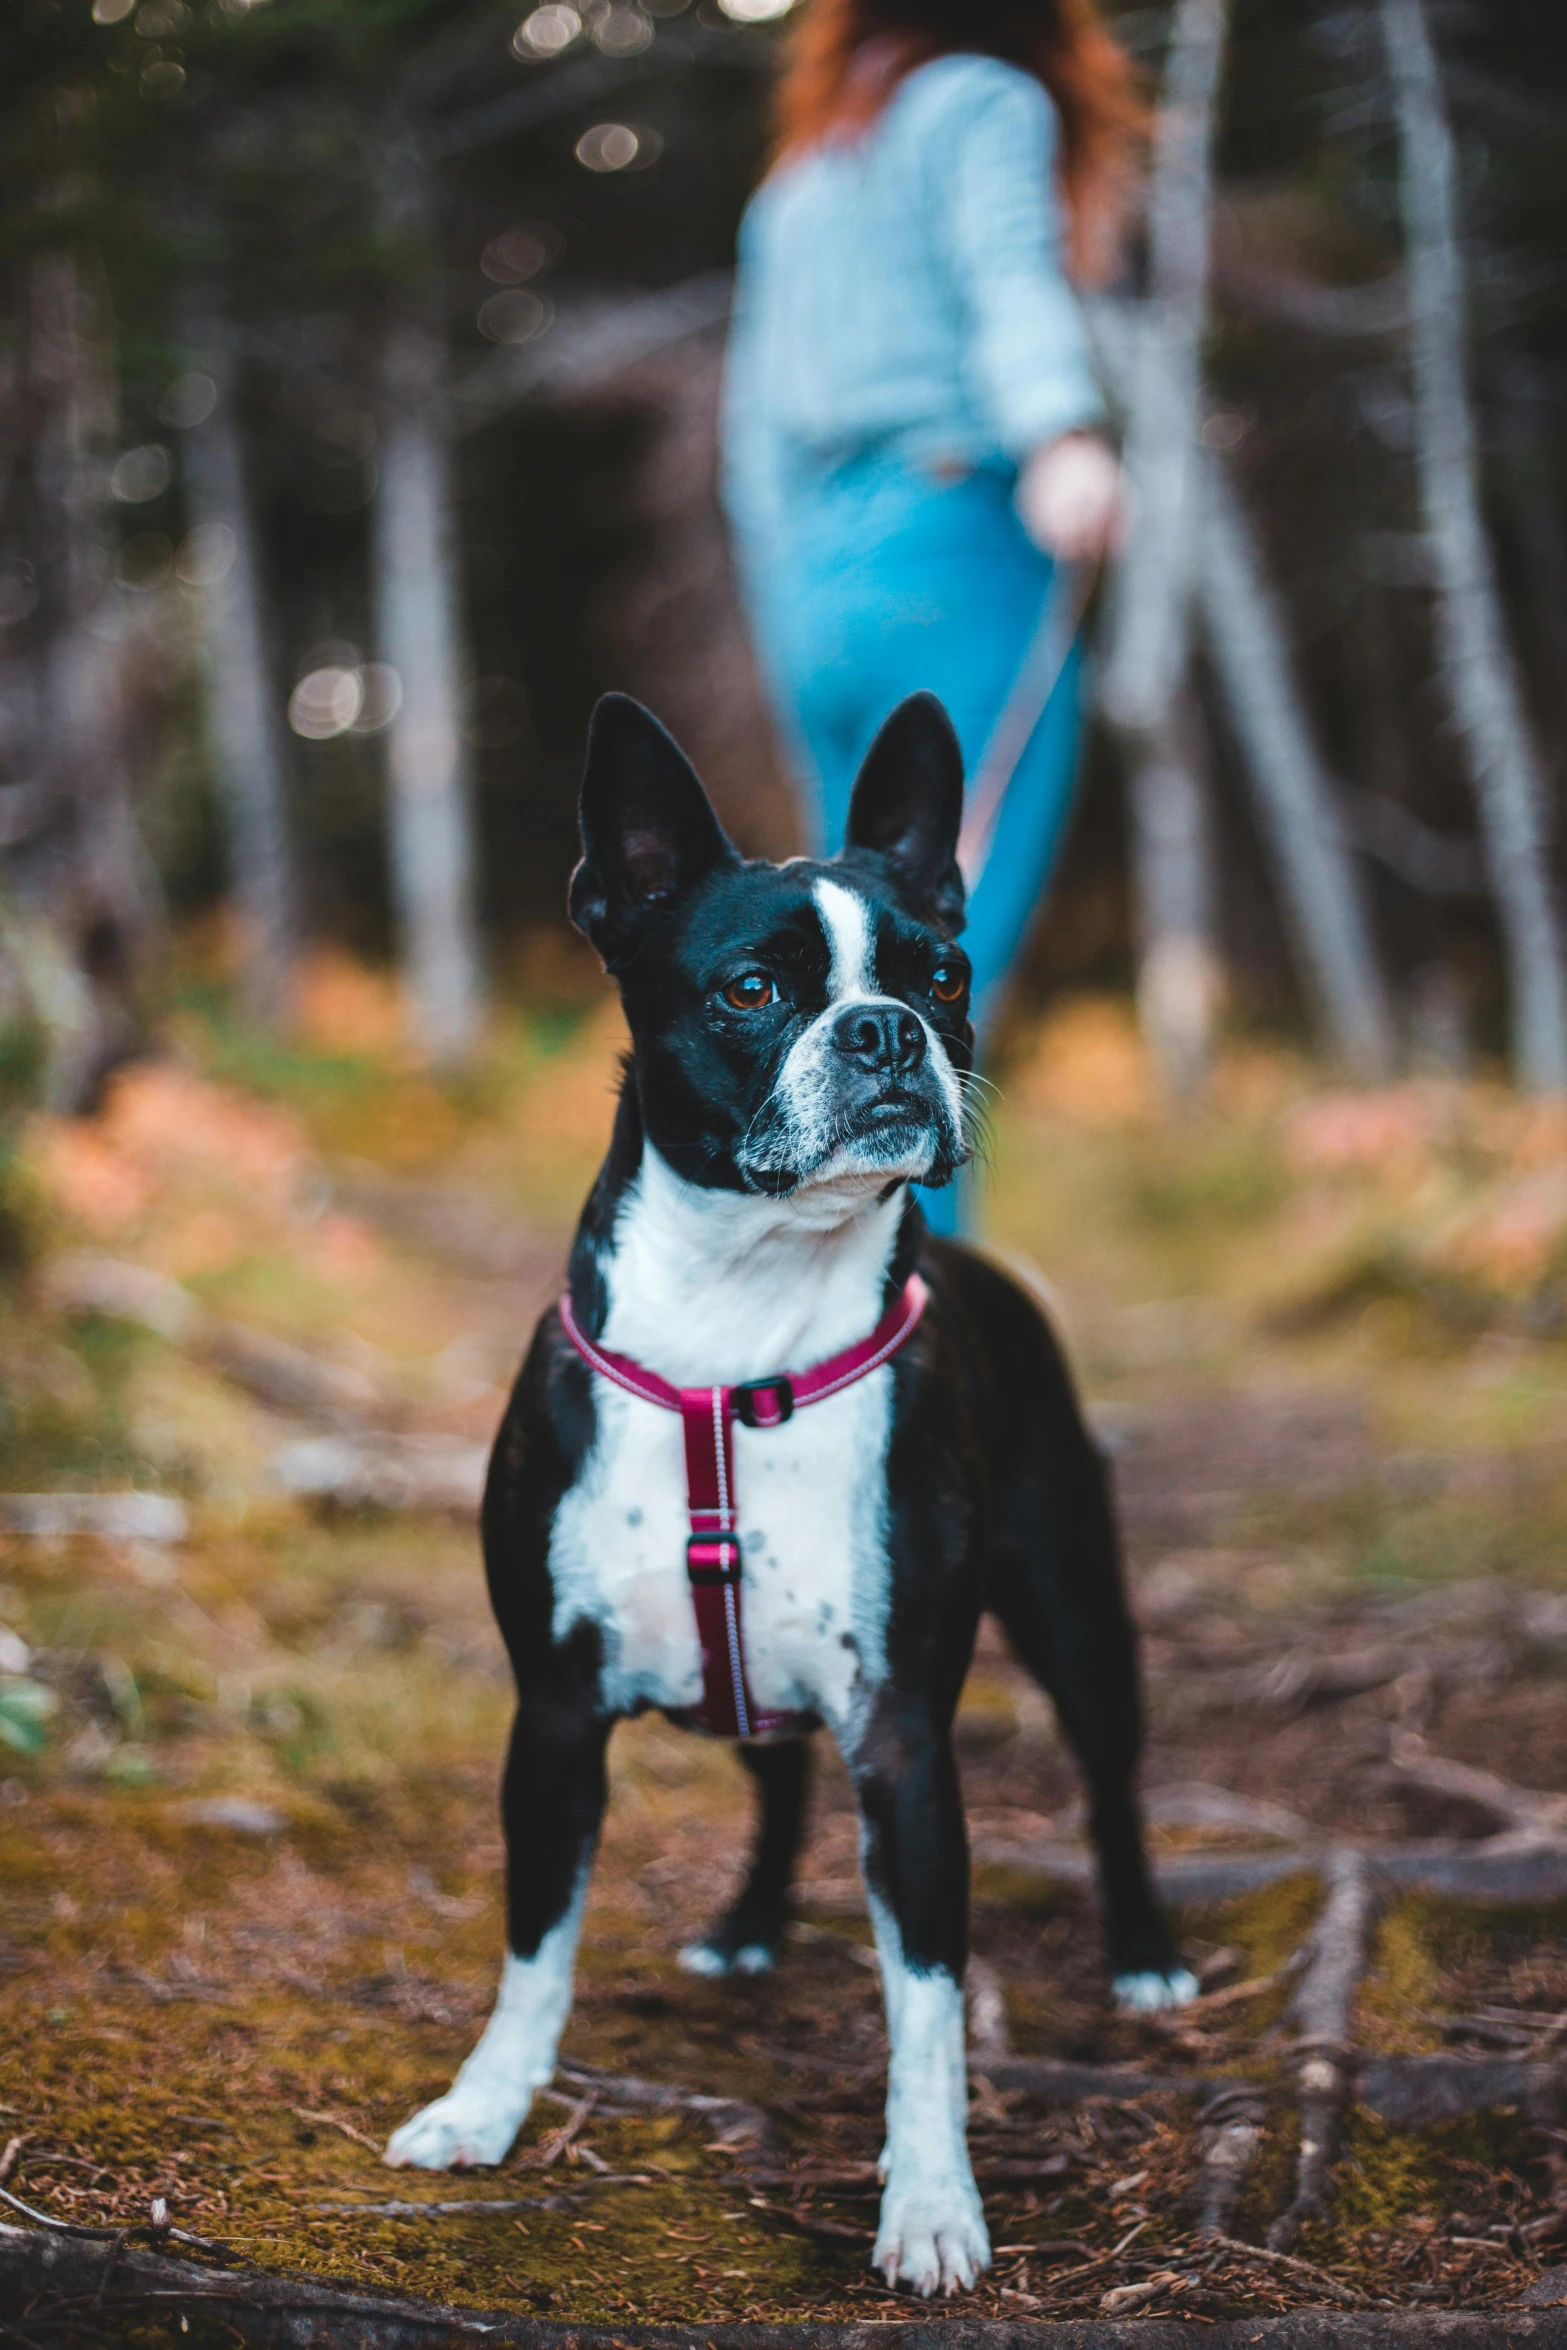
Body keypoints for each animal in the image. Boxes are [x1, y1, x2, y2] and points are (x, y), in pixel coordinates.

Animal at [385, 686, 1193, 2284]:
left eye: (943, 973)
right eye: (753, 990)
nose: (885, 1028)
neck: (741, 1317)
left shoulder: (903, 1737)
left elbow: (925, 2006)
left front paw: (931, 2200)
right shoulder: (553, 1717)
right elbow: (534, 1943)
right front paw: (485, 2105)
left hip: (1074, 1604)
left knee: (1110, 1779)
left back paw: (1139, 1952)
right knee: (773, 1776)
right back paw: (747, 1924)